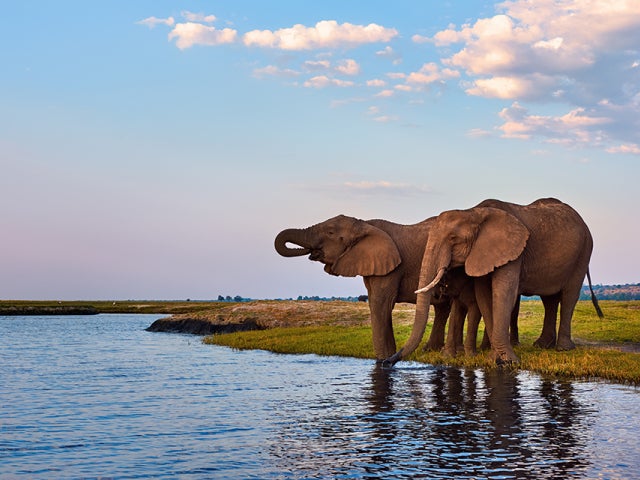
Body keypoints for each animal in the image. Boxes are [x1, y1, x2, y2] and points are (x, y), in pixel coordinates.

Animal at [275, 215, 469, 361]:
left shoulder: (392, 268)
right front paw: (388, 357)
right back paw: (430, 350)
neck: (365, 225)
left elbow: (381, 303)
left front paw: (383, 360)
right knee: (442, 307)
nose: (312, 252)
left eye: (330, 232)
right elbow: (380, 306)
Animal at [384, 198, 603, 366]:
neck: (474, 212)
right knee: (549, 299)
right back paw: (543, 345)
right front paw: (494, 359)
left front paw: (509, 362)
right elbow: (484, 296)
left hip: (584, 250)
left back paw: (563, 349)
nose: (387, 362)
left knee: (569, 295)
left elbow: (503, 292)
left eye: (453, 239)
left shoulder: (513, 252)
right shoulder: (482, 254)